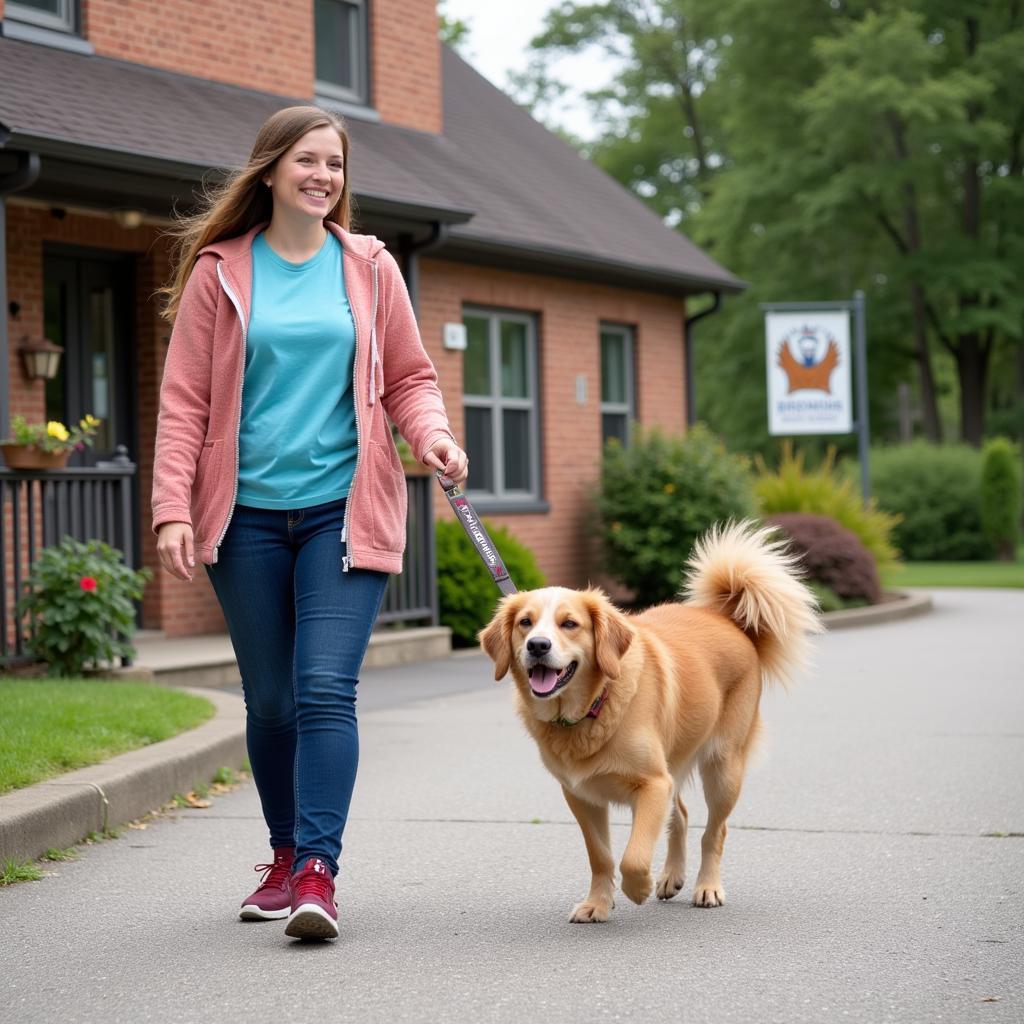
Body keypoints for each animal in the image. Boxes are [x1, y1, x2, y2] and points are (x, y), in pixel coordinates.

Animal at [479, 520, 823, 921]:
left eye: (569, 624)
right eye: (525, 623)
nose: (537, 645)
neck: (595, 705)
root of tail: (731, 621)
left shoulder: (653, 785)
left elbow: (634, 854)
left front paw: (637, 887)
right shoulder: (581, 796)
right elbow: (601, 856)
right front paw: (598, 903)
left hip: (723, 769)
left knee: (714, 832)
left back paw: (707, 886)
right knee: (683, 815)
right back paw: (673, 876)